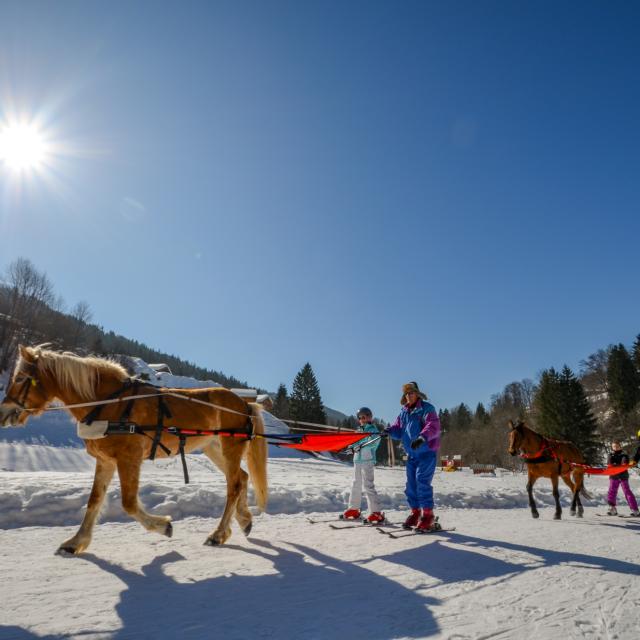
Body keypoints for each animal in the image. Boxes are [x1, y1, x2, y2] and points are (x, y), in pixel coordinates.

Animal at [0, 344, 268, 556]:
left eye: (21, 378)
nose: (3, 412)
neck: (108, 402)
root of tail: (244, 403)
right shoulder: (105, 460)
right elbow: (94, 500)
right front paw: (76, 542)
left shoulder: (129, 458)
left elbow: (128, 503)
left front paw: (163, 525)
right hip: (214, 448)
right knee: (242, 477)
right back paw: (244, 520)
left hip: (230, 447)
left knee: (234, 485)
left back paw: (219, 533)